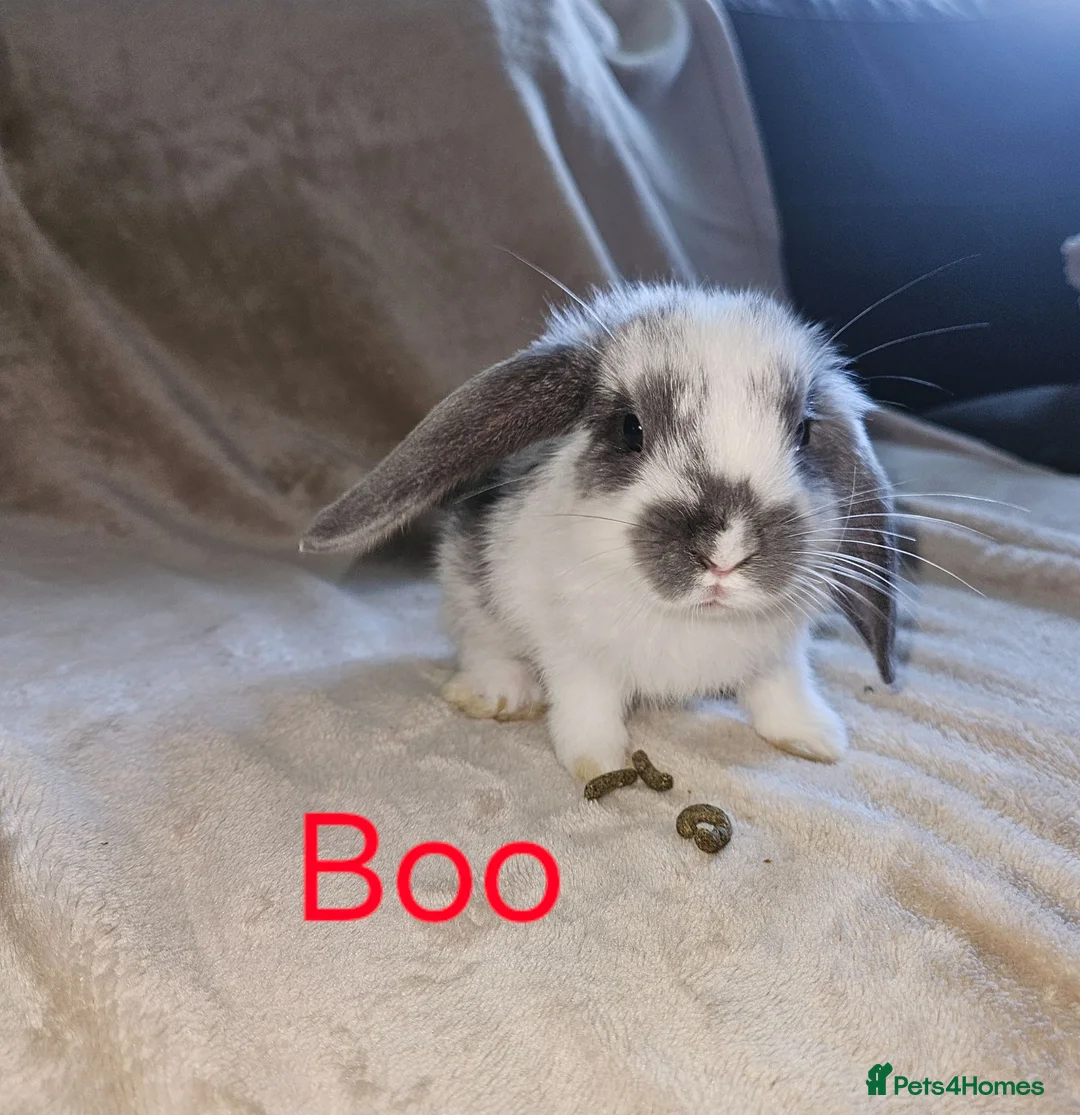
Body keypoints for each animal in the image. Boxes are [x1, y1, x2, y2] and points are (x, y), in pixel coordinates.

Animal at [300, 283, 898, 781]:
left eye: (804, 432)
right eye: (630, 428)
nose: (726, 553)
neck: (696, 620)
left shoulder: (778, 654)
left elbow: (782, 689)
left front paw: (815, 739)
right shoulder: (575, 653)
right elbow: (588, 705)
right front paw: (598, 762)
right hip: (466, 588)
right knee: (482, 644)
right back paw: (498, 695)